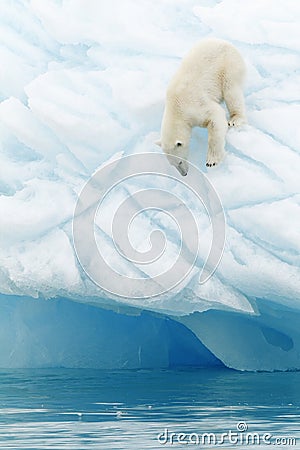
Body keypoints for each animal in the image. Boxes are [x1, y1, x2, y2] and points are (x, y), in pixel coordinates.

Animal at [157, 38, 246, 176]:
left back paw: (235, 119)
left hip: (229, 65)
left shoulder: (194, 105)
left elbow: (216, 116)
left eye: (180, 162)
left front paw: (211, 161)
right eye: (172, 164)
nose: (184, 174)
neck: (175, 107)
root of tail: (228, 43)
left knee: (231, 91)